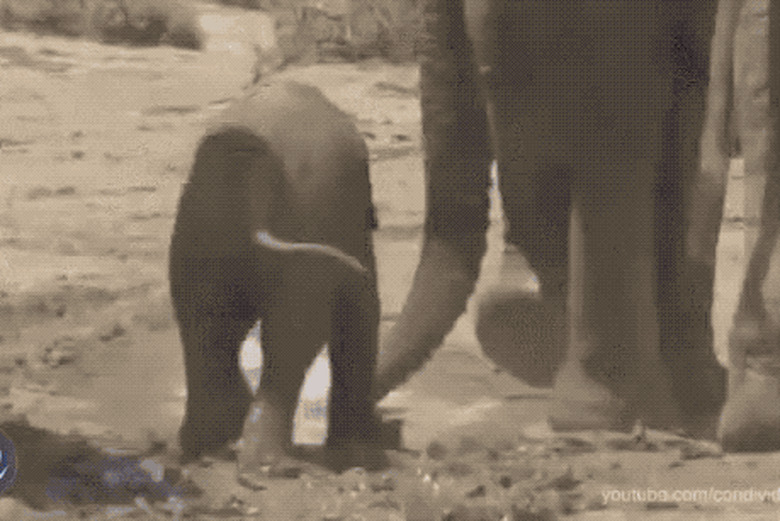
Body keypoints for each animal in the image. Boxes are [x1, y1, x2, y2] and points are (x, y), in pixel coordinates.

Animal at [169, 79, 382, 478]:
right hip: (302, 213)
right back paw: (271, 465)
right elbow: (358, 309)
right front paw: (357, 458)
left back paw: (199, 448)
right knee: (290, 332)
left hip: (198, 225)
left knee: (204, 319)